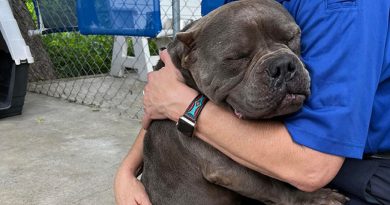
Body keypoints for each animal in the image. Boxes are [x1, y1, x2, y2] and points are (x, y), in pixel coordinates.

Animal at [140, 0, 348, 205]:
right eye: (237, 57)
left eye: (291, 38)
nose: (282, 65)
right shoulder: (226, 167)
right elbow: (273, 186)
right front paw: (314, 198)